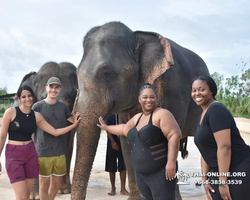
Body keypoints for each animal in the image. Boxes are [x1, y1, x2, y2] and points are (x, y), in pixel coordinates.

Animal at [72, 21, 209, 199]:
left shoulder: (173, 91)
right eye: (76, 74)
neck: (137, 36)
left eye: (107, 73)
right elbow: (126, 140)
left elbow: (169, 137)